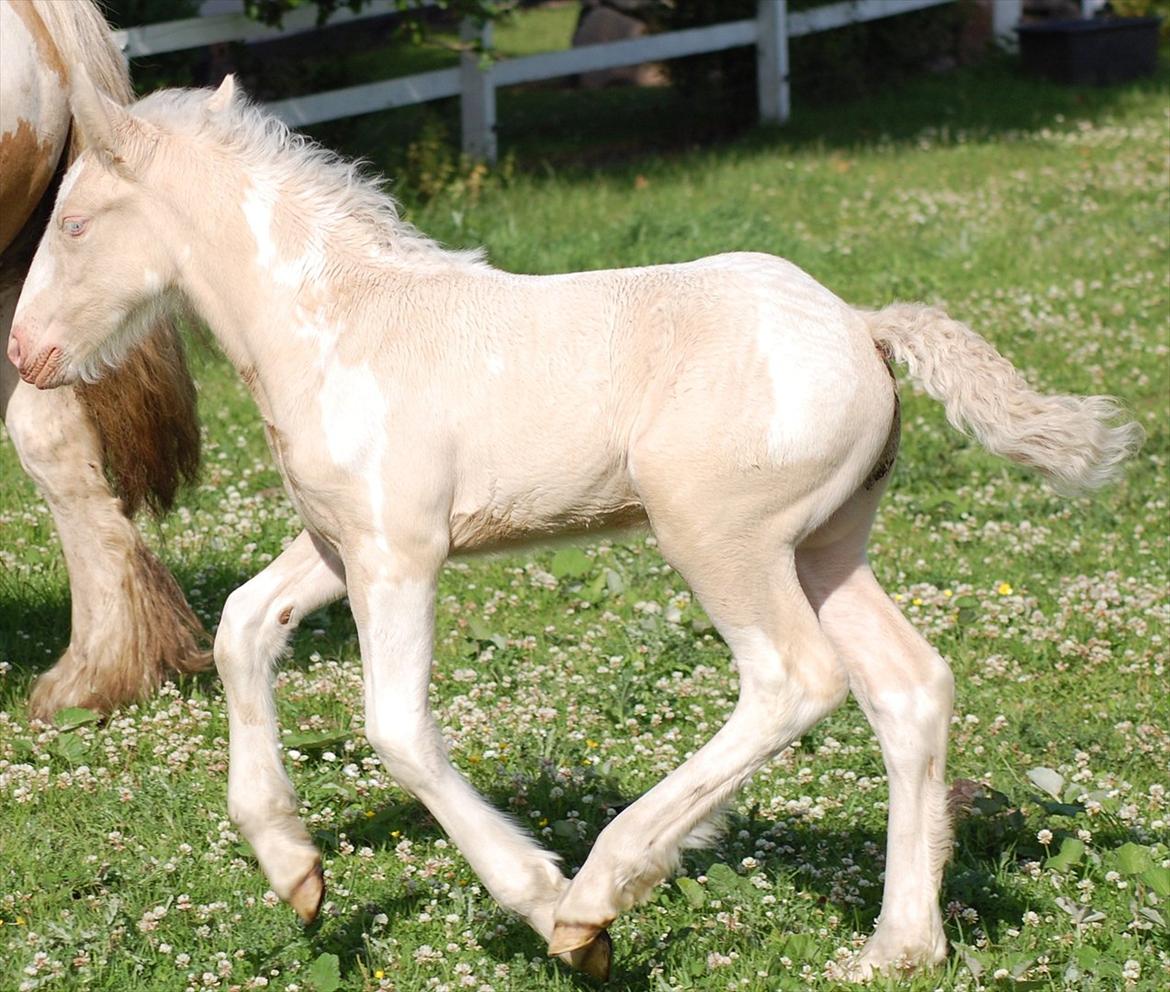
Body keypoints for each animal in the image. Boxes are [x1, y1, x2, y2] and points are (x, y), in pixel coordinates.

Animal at [8, 71, 1141, 980]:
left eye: (74, 223)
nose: (25, 352)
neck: (336, 323)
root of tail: (865, 327)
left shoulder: (398, 552)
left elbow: (399, 730)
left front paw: (541, 897)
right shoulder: (340, 541)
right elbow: (245, 624)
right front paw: (295, 869)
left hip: (719, 537)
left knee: (793, 679)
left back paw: (602, 889)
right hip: (823, 548)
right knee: (910, 689)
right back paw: (898, 947)